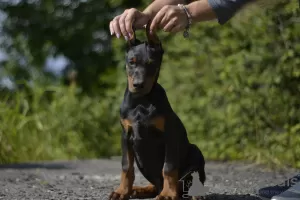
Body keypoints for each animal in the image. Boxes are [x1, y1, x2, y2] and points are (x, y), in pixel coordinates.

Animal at [109, 22, 206, 199]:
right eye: (131, 62)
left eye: (150, 63)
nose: (138, 85)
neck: (141, 101)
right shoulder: (125, 135)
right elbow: (126, 166)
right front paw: (121, 191)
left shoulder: (170, 135)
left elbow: (168, 168)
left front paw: (168, 194)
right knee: (156, 185)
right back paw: (139, 190)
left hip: (195, 151)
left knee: (190, 181)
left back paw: (193, 194)